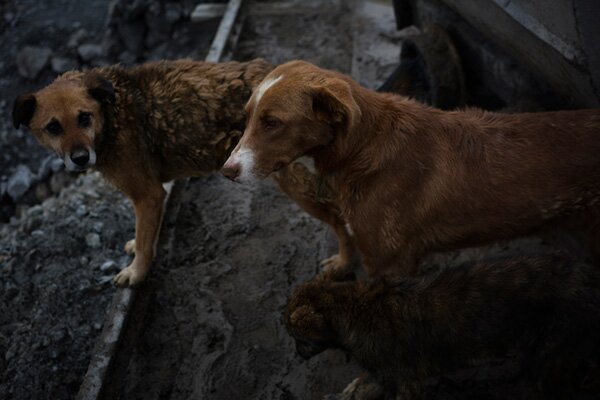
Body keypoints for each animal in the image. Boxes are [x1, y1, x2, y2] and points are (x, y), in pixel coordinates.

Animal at [220, 60, 600, 278]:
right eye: (248, 115)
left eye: (272, 123)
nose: (226, 171)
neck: (362, 149)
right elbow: (344, 236)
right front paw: (342, 264)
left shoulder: (391, 263)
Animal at [284, 258, 600, 398]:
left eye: (297, 337)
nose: (297, 355)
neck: (349, 306)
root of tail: (589, 280)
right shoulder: (386, 376)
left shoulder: (402, 380)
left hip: (547, 354)